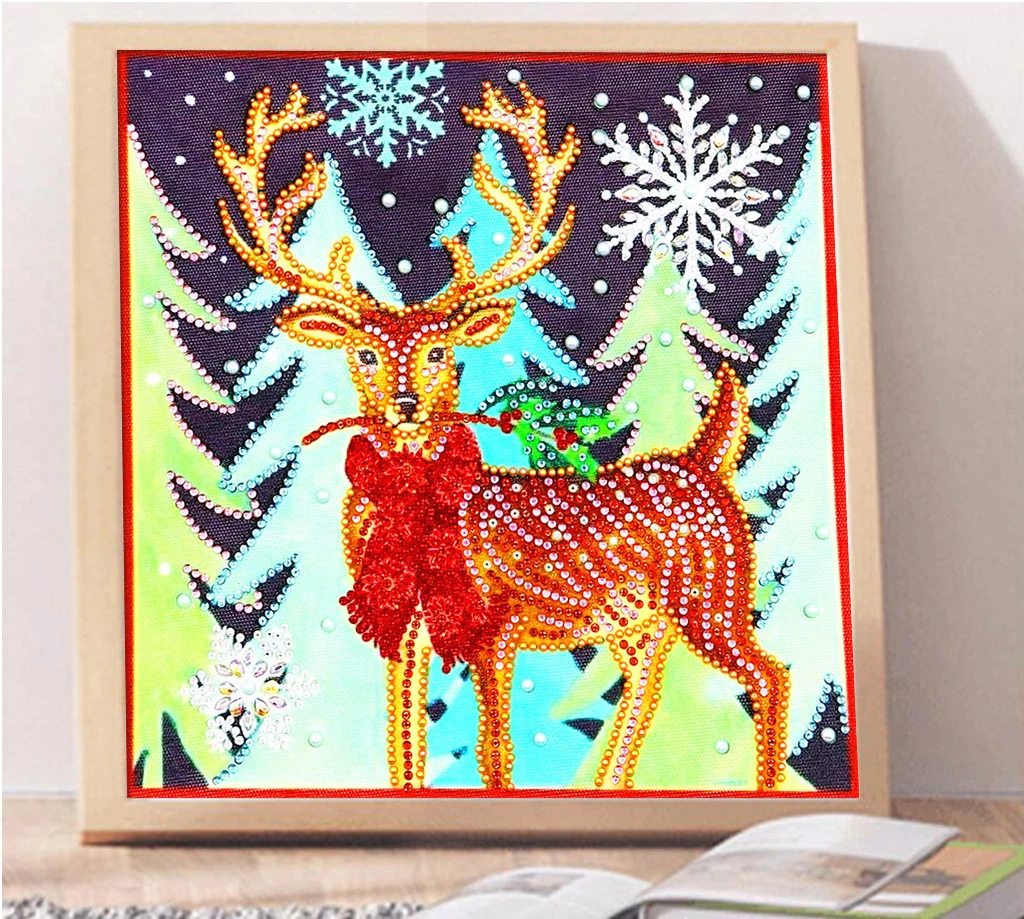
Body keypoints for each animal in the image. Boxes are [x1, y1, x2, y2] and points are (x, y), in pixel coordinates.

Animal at [213, 81, 791, 793]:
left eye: (440, 352)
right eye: (365, 354)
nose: (407, 406)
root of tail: (707, 459)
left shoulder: (499, 624)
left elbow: (493, 752)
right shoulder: (406, 638)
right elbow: (404, 747)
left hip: (714, 592)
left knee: (767, 675)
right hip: (636, 618)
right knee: (647, 676)